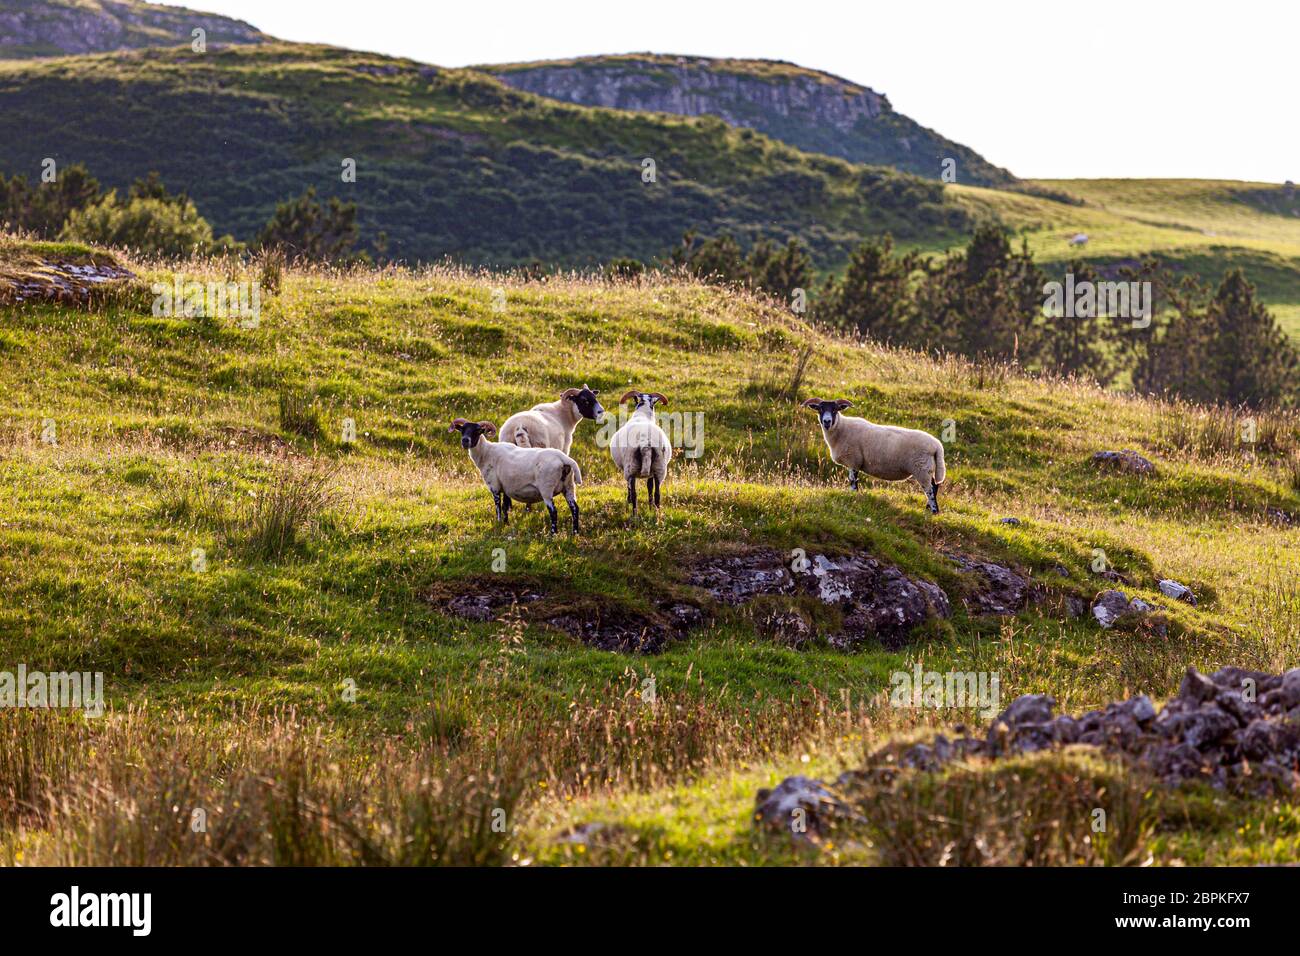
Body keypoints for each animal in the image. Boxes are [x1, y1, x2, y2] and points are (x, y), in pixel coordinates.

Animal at [452, 418, 585, 535]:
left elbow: (498, 508)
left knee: (553, 512)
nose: (465, 440)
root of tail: (563, 458)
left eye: (477, 431)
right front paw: (506, 523)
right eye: (462, 430)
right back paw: (575, 533)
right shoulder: (506, 487)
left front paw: (499, 523)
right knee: (575, 509)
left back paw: (553, 534)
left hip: (546, 489)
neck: (486, 452)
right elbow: (505, 507)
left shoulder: (495, 487)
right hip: (568, 486)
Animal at [608, 390, 670, 520]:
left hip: (630, 468)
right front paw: (650, 508)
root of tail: (645, 443)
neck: (642, 414)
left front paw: (629, 502)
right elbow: (650, 487)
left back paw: (634, 515)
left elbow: (630, 488)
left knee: (634, 493)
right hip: (659, 468)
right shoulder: (652, 473)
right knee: (657, 494)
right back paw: (657, 514)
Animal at [800, 395, 946, 515]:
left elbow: (853, 480)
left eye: (835, 410)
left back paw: (934, 511)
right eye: (820, 409)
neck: (841, 428)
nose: (827, 421)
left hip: (921, 468)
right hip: (927, 468)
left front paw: (853, 495)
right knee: (934, 486)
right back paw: (928, 508)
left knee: (930, 490)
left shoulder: (854, 460)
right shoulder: (854, 462)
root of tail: (937, 445)